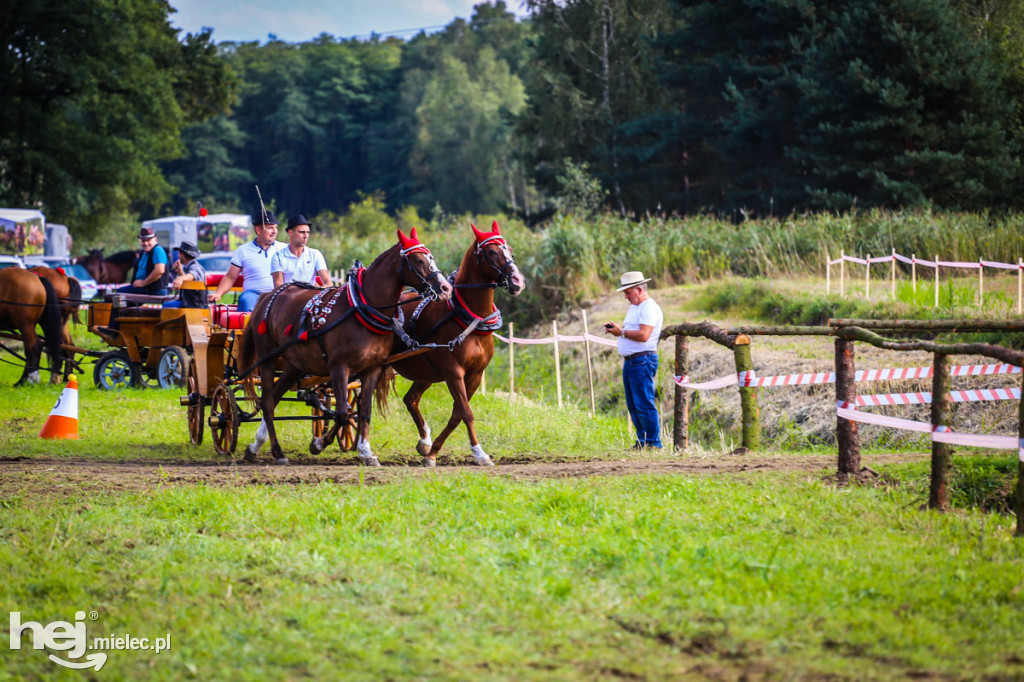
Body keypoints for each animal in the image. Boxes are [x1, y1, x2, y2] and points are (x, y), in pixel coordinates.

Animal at [387, 220, 524, 464]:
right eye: (491, 252)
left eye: (510, 250)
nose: (518, 281)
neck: (470, 319)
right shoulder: (453, 372)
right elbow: (466, 412)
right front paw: (479, 453)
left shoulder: (475, 374)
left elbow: (458, 413)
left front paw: (433, 451)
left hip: (425, 372)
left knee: (411, 399)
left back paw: (424, 440)